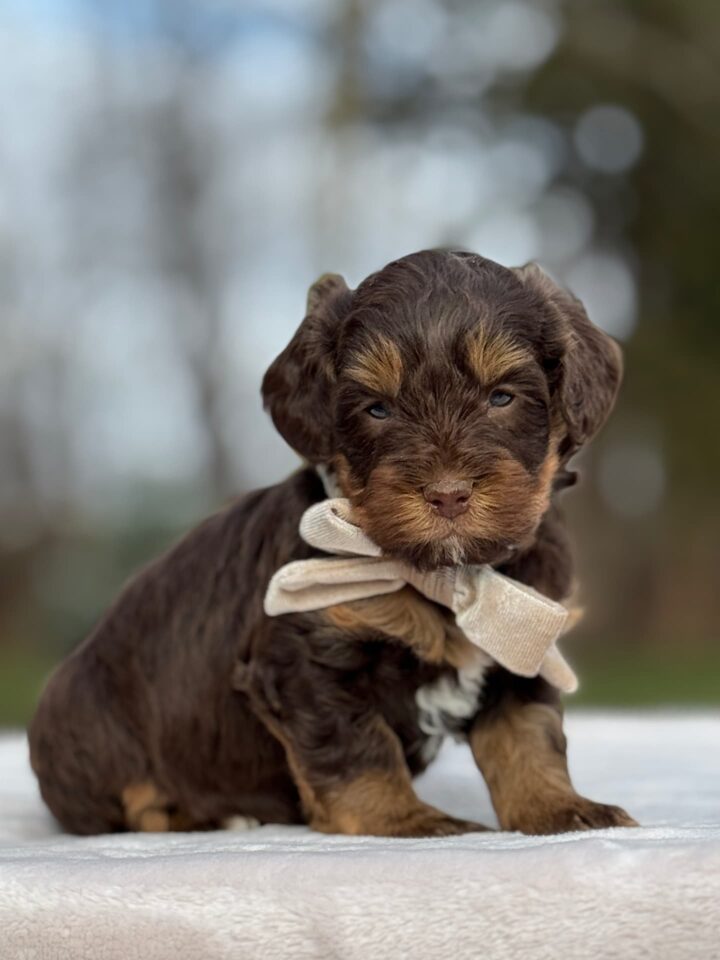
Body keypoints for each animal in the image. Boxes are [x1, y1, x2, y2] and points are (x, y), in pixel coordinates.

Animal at [28, 251, 636, 836]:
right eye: (377, 409)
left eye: (502, 397)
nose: (448, 495)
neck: (443, 575)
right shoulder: (307, 660)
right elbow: (356, 749)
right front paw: (406, 821)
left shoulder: (522, 645)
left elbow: (526, 736)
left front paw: (558, 809)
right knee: (132, 804)